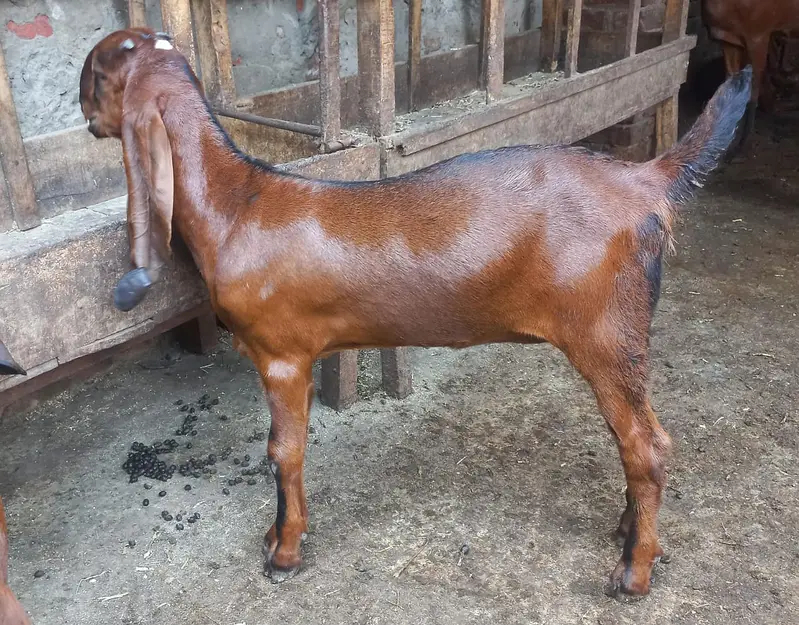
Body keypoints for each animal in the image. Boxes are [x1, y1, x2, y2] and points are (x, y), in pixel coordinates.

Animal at [79, 27, 751, 597]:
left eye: (96, 73)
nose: (84, 116)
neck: (238, 203)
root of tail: (643, 182)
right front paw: (276, 536)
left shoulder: (282, 357)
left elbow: (283, 452)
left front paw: (284, 551)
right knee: (632, 441)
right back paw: (633, 535)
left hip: (606, 334)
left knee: (648, 447)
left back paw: (633, 574)